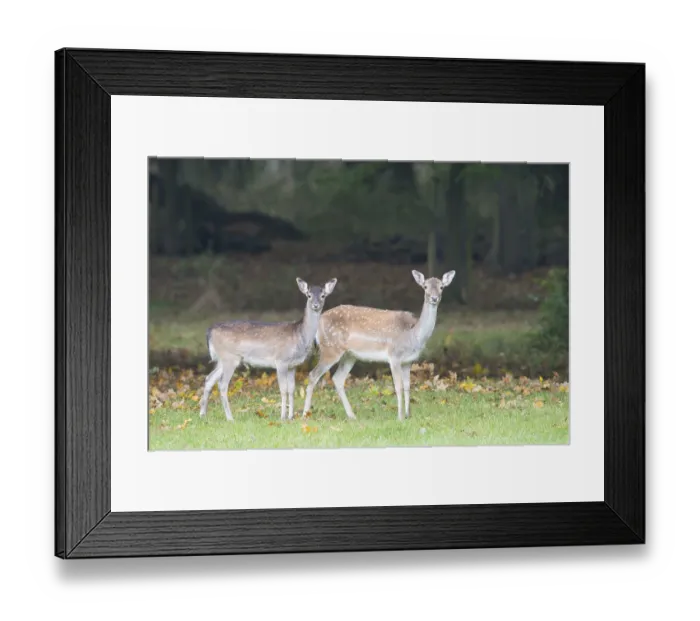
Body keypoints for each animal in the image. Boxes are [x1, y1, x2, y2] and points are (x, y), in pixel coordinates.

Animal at [199, 277, 337, 422]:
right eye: (309, 295)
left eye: (323, 295)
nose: (315, 305)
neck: (299, 336)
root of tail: (209, 332)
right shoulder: (281, 360)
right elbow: (283, 389)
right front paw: (283, 417)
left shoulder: (293, 365)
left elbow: (292, 389)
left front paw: (291, 417)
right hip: (230, 358)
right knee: (222, 384)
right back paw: (230, 418)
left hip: (223, 359)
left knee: (209, 378)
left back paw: (203, 414)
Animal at [302, 270, 455, 422]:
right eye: (425, 286)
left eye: (441, 287)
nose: (434, 298)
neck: (413, 335)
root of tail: (318, 323)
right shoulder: (394, 356)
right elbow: (398, 386)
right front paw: (400, 417)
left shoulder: (408, 361)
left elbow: (407, 385)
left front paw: (408, 415)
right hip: (330, 349)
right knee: (313, 375)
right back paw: (305, 415)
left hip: (349, 355)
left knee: (337, 378)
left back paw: (352, 416)